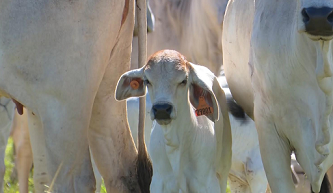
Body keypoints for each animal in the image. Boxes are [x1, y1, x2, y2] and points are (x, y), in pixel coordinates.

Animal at [114, 50, 231, 193]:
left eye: (184, 80)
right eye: (147, 81)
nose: (162, 109)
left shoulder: (208, 183)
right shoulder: (158, 183)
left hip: (223, 169)